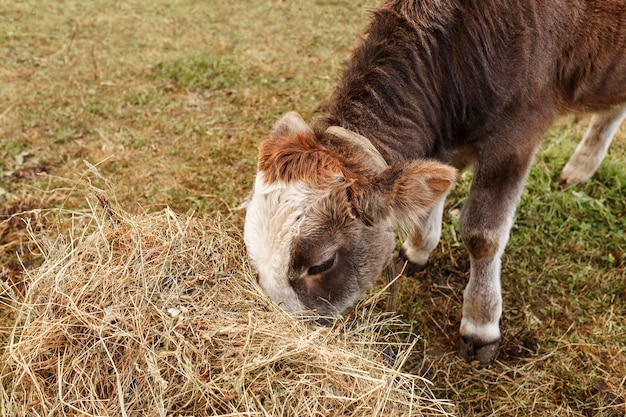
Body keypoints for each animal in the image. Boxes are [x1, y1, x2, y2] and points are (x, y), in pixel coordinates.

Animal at [243, 0, 624, 364]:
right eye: (253, 252)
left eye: (321, 264)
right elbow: (434, 190)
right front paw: (418, 249)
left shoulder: (516, 134)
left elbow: (483, 234)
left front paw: (480, 326)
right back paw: (580, 168)